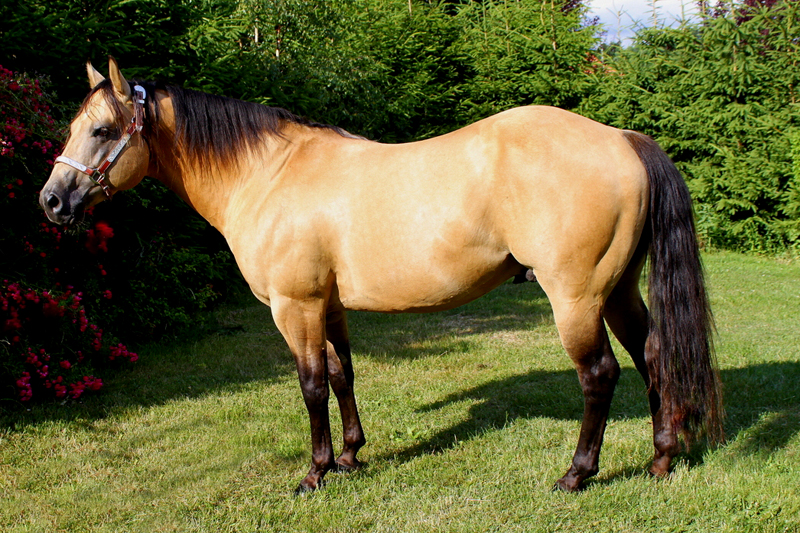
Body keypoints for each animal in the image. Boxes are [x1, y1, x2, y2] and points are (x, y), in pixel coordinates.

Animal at [40, 58, 723, 494]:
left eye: (102, 129)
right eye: (74, 127)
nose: (50, 201)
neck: (269, 174)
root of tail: (622, 138)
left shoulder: (294, 306)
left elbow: (312, 385)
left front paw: (315, 472)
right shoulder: (329, 305)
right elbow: (343, 375)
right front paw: (350, 456)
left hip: (576, 297)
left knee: (599, 374)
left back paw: (577, 474)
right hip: (619, 289)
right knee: (653, 356)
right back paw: (662, 459)